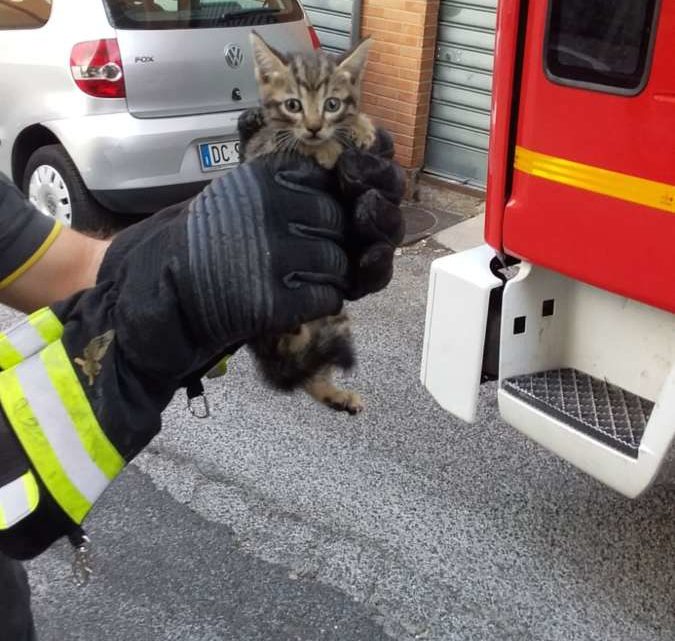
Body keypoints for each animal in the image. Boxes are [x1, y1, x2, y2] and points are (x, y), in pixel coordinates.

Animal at [246, 30, 378, 412]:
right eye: (293, 105)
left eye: (332, 104)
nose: (315, 128)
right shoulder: (264, 149)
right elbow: (294, 143)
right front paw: (324, 148)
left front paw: (360, 125)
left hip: (335, 314)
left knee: (307, 367)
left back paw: (335, 395)